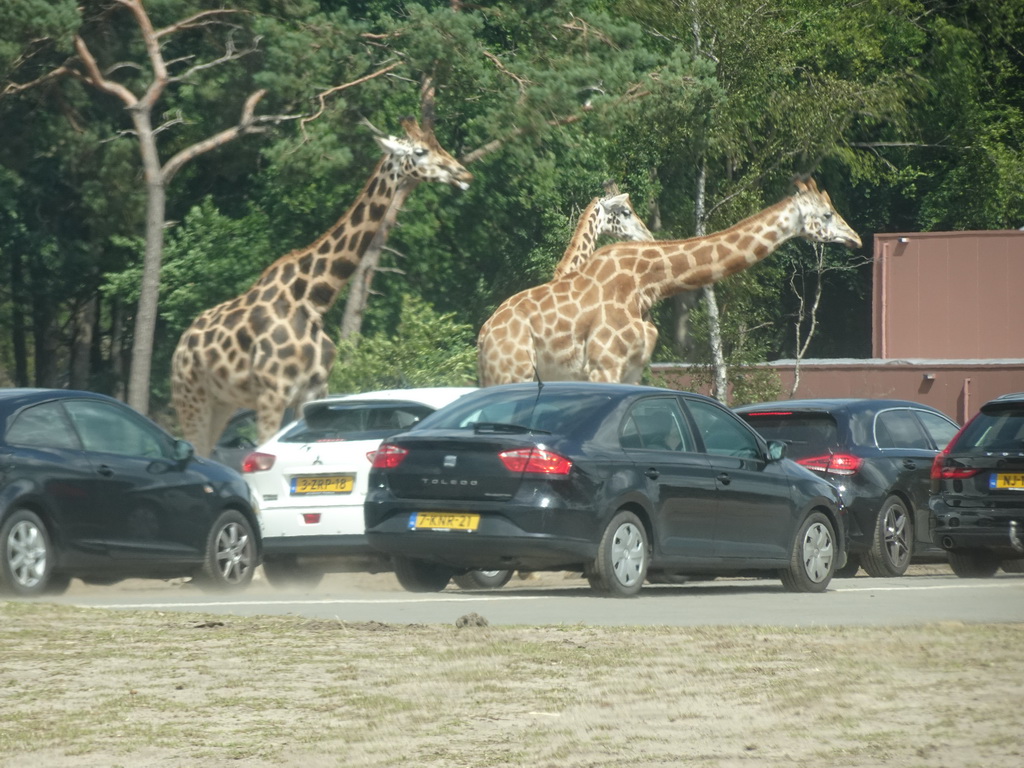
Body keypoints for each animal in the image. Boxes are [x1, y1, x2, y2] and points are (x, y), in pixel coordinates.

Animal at [172, 119, 471, 456]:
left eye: (438, 145)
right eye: (420, 152)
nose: (463, 174)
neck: (314, 299)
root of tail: (182, 344)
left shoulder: (313, 391)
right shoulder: (271, 393)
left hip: (222, 403)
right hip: (192, 397)